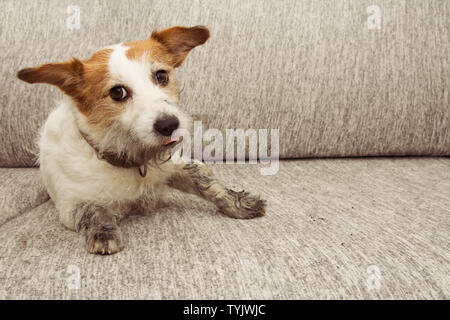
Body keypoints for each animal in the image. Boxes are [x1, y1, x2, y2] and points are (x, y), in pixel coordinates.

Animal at [17, 25, 266, 255]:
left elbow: (208, 185)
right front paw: (103, 233)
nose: (169, 125)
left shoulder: (173, 167)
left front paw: (239, 203)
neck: (132, 160)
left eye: (161, 76)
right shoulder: (70, 205)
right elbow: (92, 210)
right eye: (118, 92)